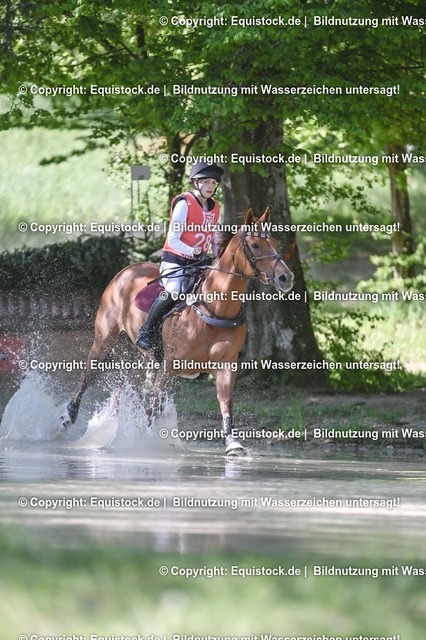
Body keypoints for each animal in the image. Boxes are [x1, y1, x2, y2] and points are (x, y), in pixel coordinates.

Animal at [60, 208, 294, 455]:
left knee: (121, 389)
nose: (286, 278)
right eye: (256, 245)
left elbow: (225, 403)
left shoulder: (225, 367)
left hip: (138, 357)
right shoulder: (169, 366)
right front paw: (142, 440)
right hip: (105, 338)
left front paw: (233, 443)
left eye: (275, 243)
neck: (215, 307)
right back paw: (69, 417)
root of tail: (128, 269)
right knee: (89, 372)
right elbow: (153, 406)